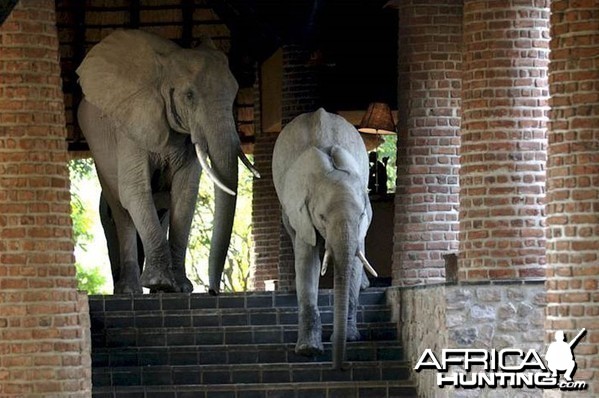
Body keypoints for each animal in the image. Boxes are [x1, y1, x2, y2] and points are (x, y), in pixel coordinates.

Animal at [78, 29, 260, 294]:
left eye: (235, 94)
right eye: (189, 96)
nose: (213, 291)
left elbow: (185, 192)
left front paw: (179, 288)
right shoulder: (131, 123)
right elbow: (134, 191)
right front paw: (161, 283)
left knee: (161, 205)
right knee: (122, 210)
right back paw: (130, 290)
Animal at [274, 108, 378, 370]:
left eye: (361, 214)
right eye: (321, 216)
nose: (340, 367)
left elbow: (354, 262)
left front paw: (349, 338)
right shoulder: (301, 209)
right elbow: (306, 262)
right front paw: (308, 350)